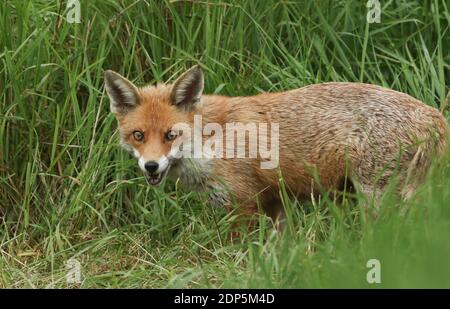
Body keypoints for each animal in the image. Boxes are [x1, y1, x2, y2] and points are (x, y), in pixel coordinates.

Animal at [104, 65, 446, 220]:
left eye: (171, 135)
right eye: (138, 135)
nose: (150, 166)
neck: (212, 140)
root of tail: (437, 116)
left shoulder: (242, 204)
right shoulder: (274, 203)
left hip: (378, 198)